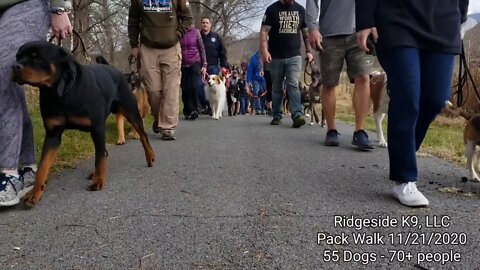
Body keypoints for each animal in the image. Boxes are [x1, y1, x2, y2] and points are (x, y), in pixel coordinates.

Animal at [12, 40, 156, 209]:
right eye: (18, 56)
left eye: (37, 57)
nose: (14, 66)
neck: (61, 92)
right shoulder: (53, 134)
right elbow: (42, 166)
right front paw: (35, 193)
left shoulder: (97, 128)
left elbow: (99, 158)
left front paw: (99, 181)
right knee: (104, 151)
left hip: (132, 112)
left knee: (142, 137)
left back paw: (150, 157)